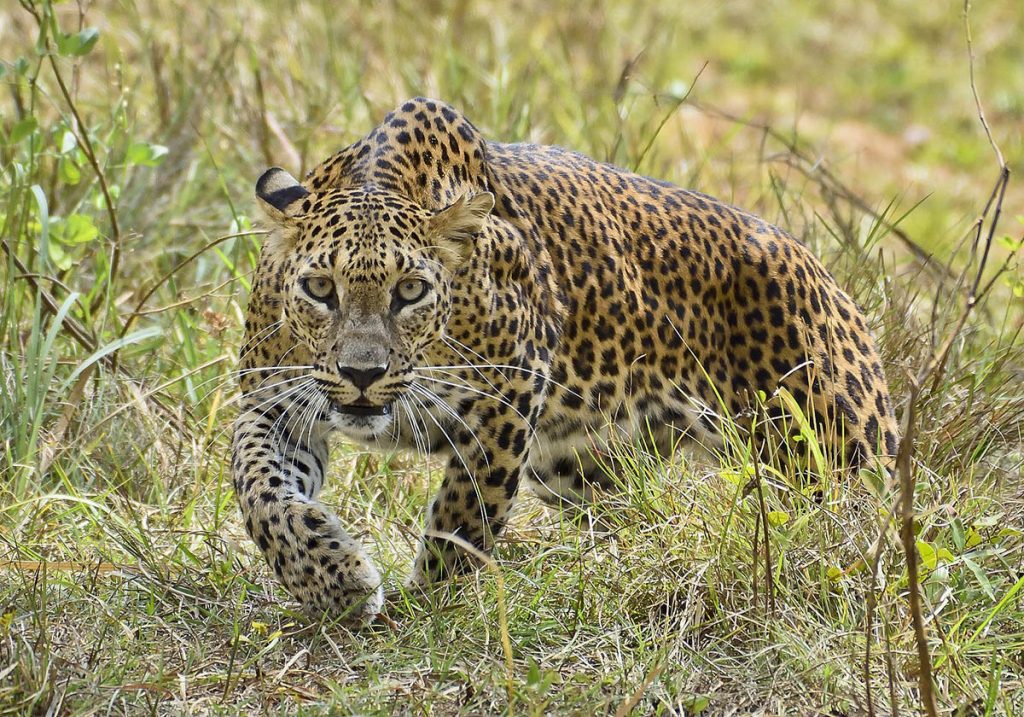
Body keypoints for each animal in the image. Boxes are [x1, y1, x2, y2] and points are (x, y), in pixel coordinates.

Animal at [232, 95, 897, 622]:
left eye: (411, 291)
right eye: (321, 288)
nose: (362, 375)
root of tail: (825, 274)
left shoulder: (508, 398)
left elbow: (465, 514)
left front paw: (425, 604)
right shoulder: (274, 401)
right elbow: (259, 489)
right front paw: (333, 581)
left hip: (834, 450)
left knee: (869, 525)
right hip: (581, 466)